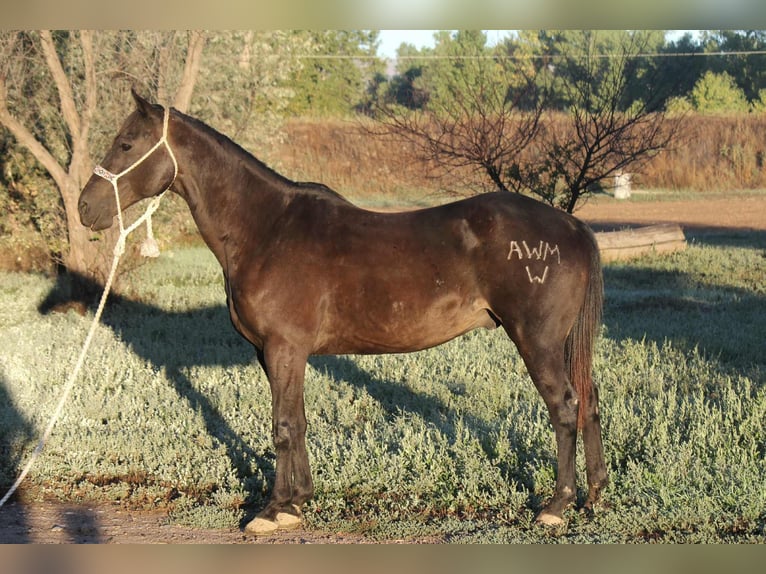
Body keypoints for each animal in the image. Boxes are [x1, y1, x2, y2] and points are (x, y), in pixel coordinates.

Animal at [78, 89, 607, 534]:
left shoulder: (284, 348)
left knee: (564, 405)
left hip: (536, 340)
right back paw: (594, 493)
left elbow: (283, 426)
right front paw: (296, 503)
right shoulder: (276, 354)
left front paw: (271, 511)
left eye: (125, 144)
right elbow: (296, 420)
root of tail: (570, 224)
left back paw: (557, 505)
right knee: (589, 398)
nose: (85, 208)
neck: (266, 228)